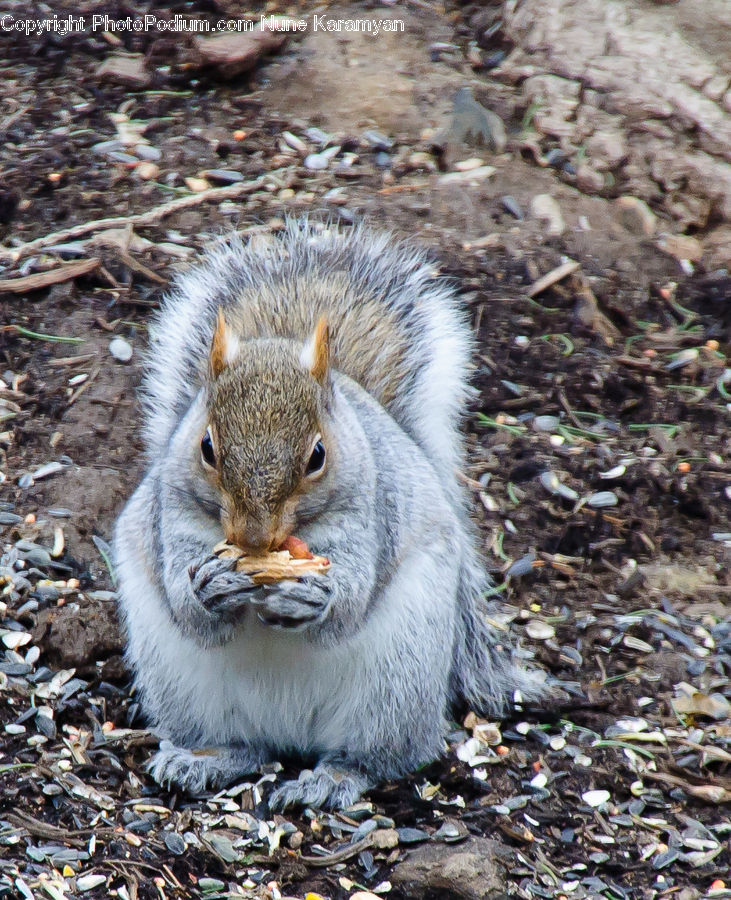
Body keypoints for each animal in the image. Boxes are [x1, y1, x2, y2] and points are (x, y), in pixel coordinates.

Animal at [113, 219, 545, 811]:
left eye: (318, 455)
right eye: (206, 447)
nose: (254, 537)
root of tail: (291, 732)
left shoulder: (372, 513)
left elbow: (351, 598)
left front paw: (313, 597)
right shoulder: (168, 514)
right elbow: (186, 601)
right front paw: (208, 587)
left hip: (396, 685)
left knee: (377, 759)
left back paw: (331, 779)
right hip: (182, 687)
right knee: (248, 746)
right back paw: (205, 760)